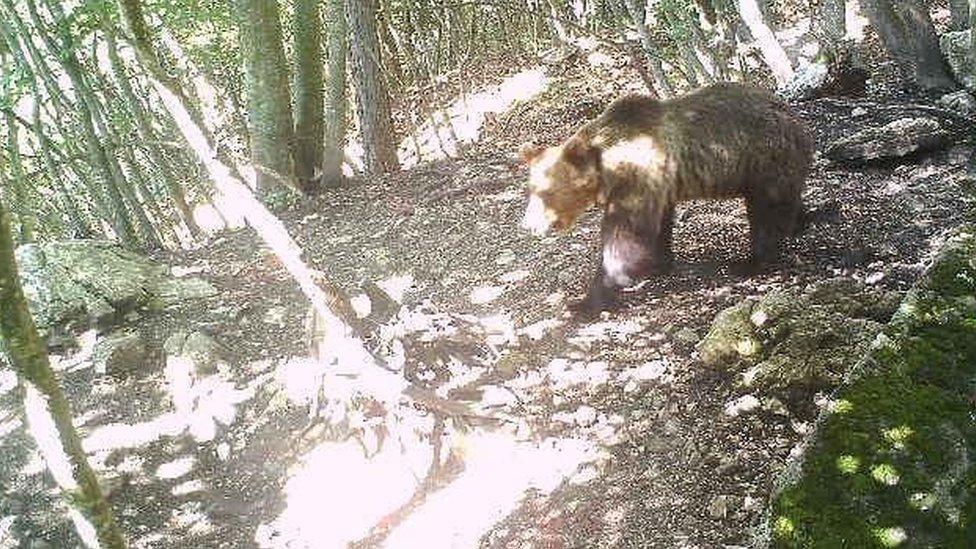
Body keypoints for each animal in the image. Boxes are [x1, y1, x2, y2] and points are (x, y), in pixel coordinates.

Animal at [524, 81, 812, 312]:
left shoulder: (636, 178)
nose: (528, 225)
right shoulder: (658, 185)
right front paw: (658, 263)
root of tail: (793, 114)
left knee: (767, 211)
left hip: (762, 158)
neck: (607, 167)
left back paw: (752, 261)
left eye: (545, 191)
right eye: (531, 188)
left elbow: (625, 235)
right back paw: (801, 222)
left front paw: (588, 300)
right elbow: (657, 226)